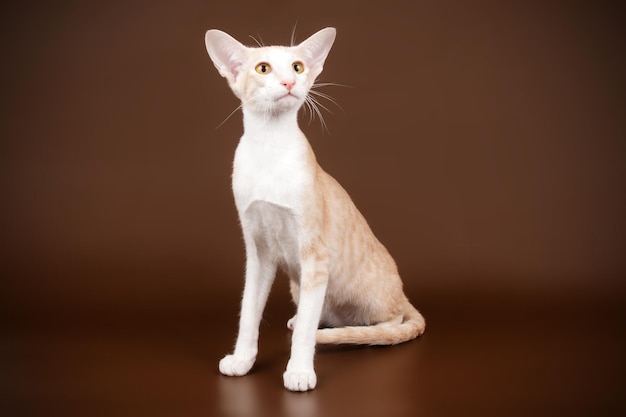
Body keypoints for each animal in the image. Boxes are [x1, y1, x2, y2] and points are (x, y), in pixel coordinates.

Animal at [205, 26, 424, 390]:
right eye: (263, 68)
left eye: (297, 67)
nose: (289, 82)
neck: (270, 149)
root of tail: (403, 293)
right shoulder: (258, 250)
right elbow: (249, 311)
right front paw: (242, 359)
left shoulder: (315, 254)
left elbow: (307, 333)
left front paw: (299, 371)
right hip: (300, 284)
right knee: (316, 309)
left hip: (364, 294)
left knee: (392, 320)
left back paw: (364, 332)